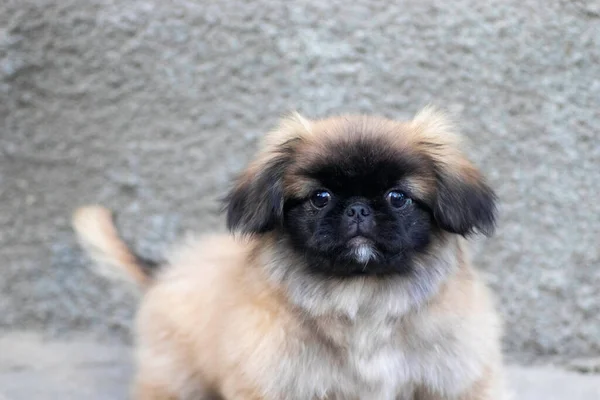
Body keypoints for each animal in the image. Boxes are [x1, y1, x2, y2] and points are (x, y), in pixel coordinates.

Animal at [74, 107, 506, 400]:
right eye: (320, 198)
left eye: (397, 198)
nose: (358, 209)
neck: (363, 296)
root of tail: (166, 271)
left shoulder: (454, 380)